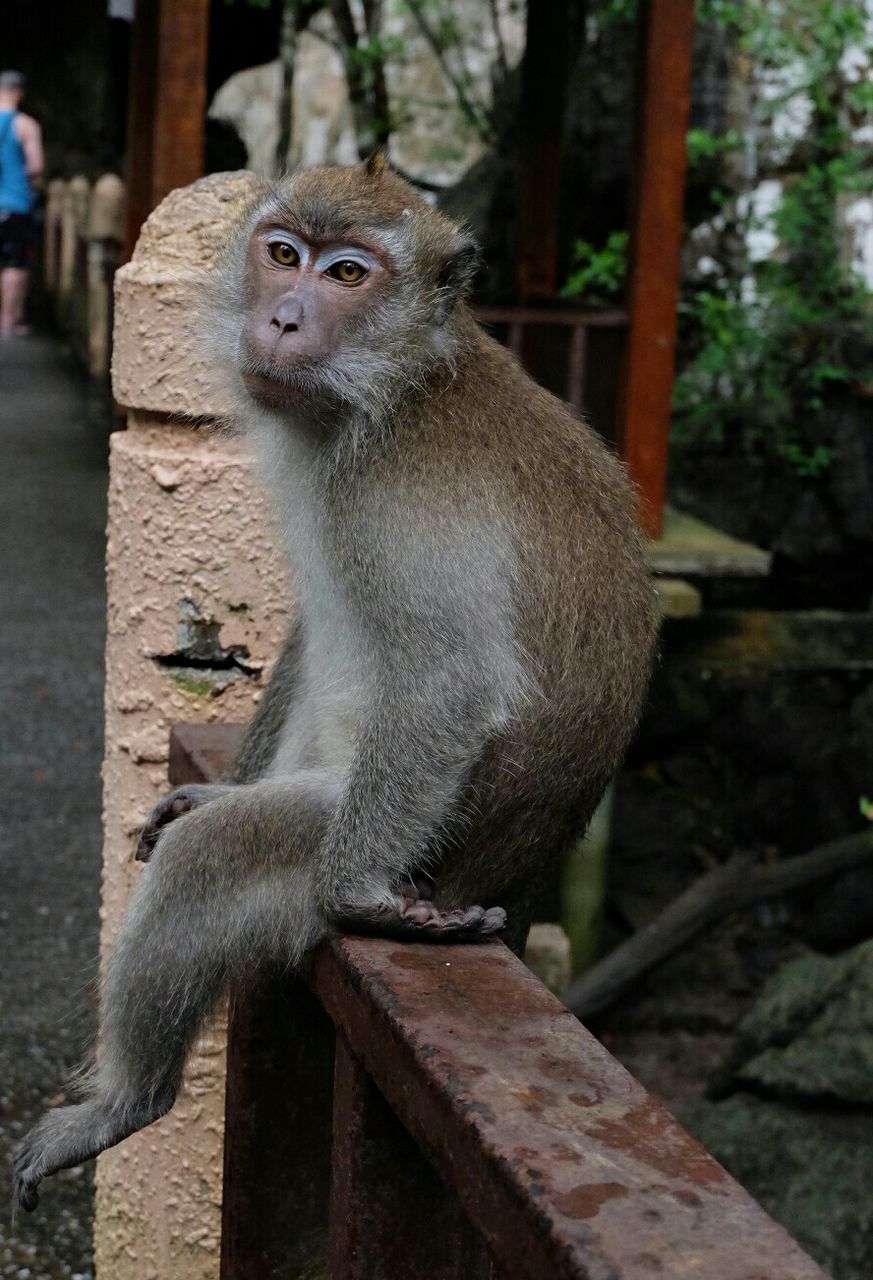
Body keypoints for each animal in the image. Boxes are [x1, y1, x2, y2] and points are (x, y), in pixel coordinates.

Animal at [13, 154, 652, 1203]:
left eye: (348, 274)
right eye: (283, 255)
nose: (282, 317)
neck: (388, 389)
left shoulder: (401, 490)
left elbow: (450, 680)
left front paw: (361, 899)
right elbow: (318, 628)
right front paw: (207, 786)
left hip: (380, 827)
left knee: (218, 860)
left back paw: (129, 1101)